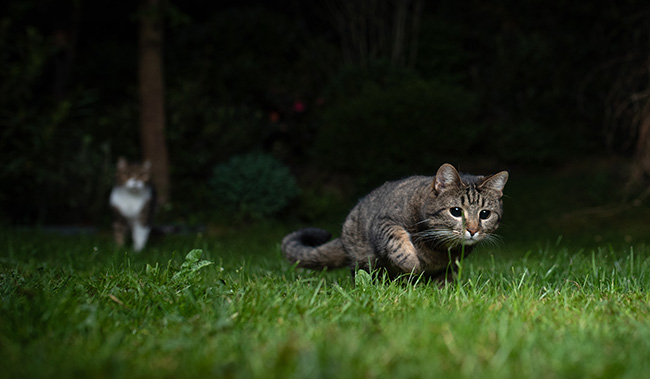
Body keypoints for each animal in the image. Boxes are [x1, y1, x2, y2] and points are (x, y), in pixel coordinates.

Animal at [282, 163, 506, 282]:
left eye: (485, 214)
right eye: (456, 211)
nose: (473, 230)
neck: (438, 249)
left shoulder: (450, 266)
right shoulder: (384, 221)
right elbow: (395, 238)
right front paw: (411, 261)